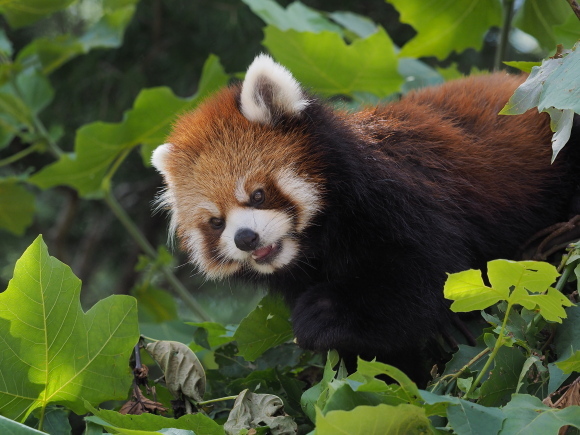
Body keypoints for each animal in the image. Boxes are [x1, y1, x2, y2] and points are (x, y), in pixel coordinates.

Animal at [151, 53, 580, 382]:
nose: (245, 238)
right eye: (217, 222)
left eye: (257, 195)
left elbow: (422, 287)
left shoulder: (406, 204)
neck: (321, 241)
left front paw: (322, 315)